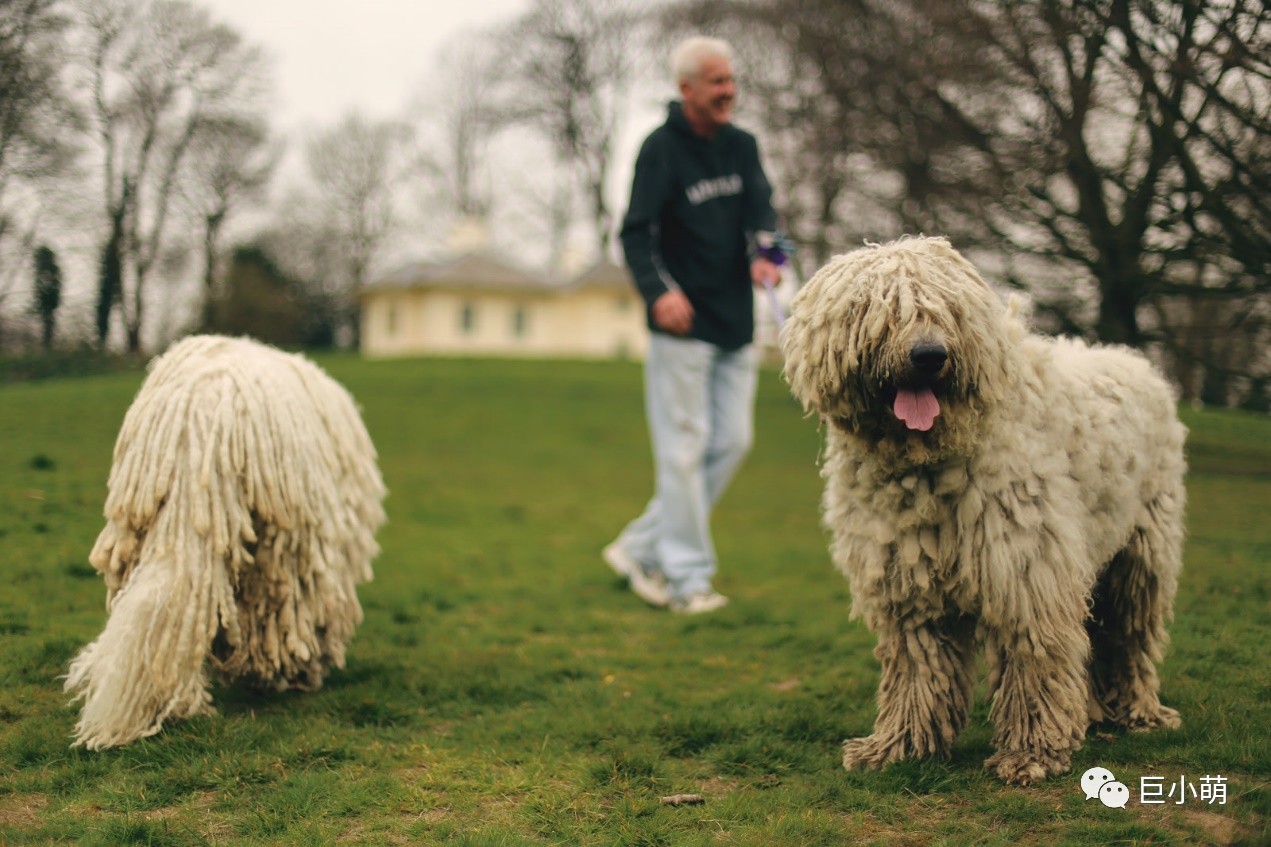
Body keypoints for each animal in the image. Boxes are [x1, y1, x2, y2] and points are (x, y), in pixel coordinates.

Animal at [777, 234, 1184, 783]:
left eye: (948, 309)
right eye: (881, 309)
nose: (929, 355)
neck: (925, 463)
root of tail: (1137, 363)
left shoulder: (1027, 573)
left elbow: (1033, 657)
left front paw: (1032, 752)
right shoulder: (908, 583)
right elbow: (918, 668)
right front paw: (900, 746)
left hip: (1140, 551)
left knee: (1129, 634)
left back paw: (1138, 712)